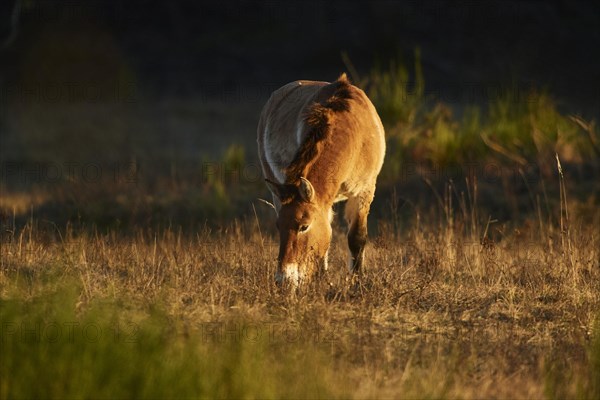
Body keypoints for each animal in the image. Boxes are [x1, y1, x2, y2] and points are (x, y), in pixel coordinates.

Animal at [256, 73, 384, 286]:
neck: (354, 137)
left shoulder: (364, 191)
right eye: (278, 226)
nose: (283, 279)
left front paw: (357, 283)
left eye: (304, 226)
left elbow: (356, 238)